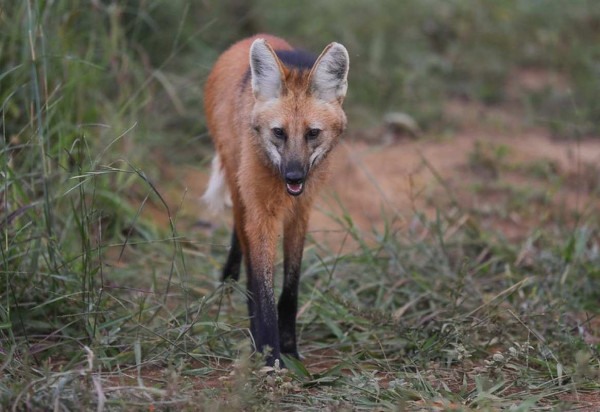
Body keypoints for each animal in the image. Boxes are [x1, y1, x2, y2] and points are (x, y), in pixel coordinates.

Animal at [204, 33, 350, 366]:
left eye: (312, 133)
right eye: (279, 133)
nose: (294, 176)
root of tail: (246, 40)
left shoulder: (301, 211)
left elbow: (290, 288)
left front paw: (288, 346)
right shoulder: (262, 214)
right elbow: (263, 287)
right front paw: (270, 355)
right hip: (237, 182)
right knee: (243, 244)